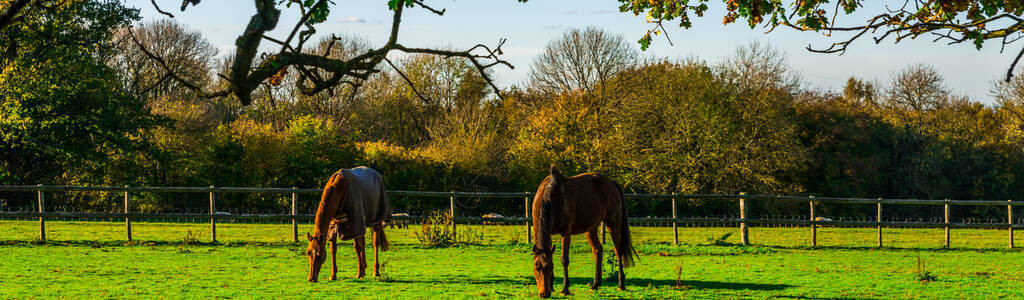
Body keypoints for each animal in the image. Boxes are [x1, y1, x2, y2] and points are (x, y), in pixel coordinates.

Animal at [532, 165, 634, 296]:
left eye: (550, 267)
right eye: (536, 267)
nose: (544, 294)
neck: (552, 196)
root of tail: (612, 183)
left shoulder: (566, 232)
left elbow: (564, 259)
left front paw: (565, 289)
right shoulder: (548, 232)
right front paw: (552, 287)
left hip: (614, 225)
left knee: (618, 251)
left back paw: (621, 284)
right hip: (591, 228)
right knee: (598, 250)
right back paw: (595, 284)